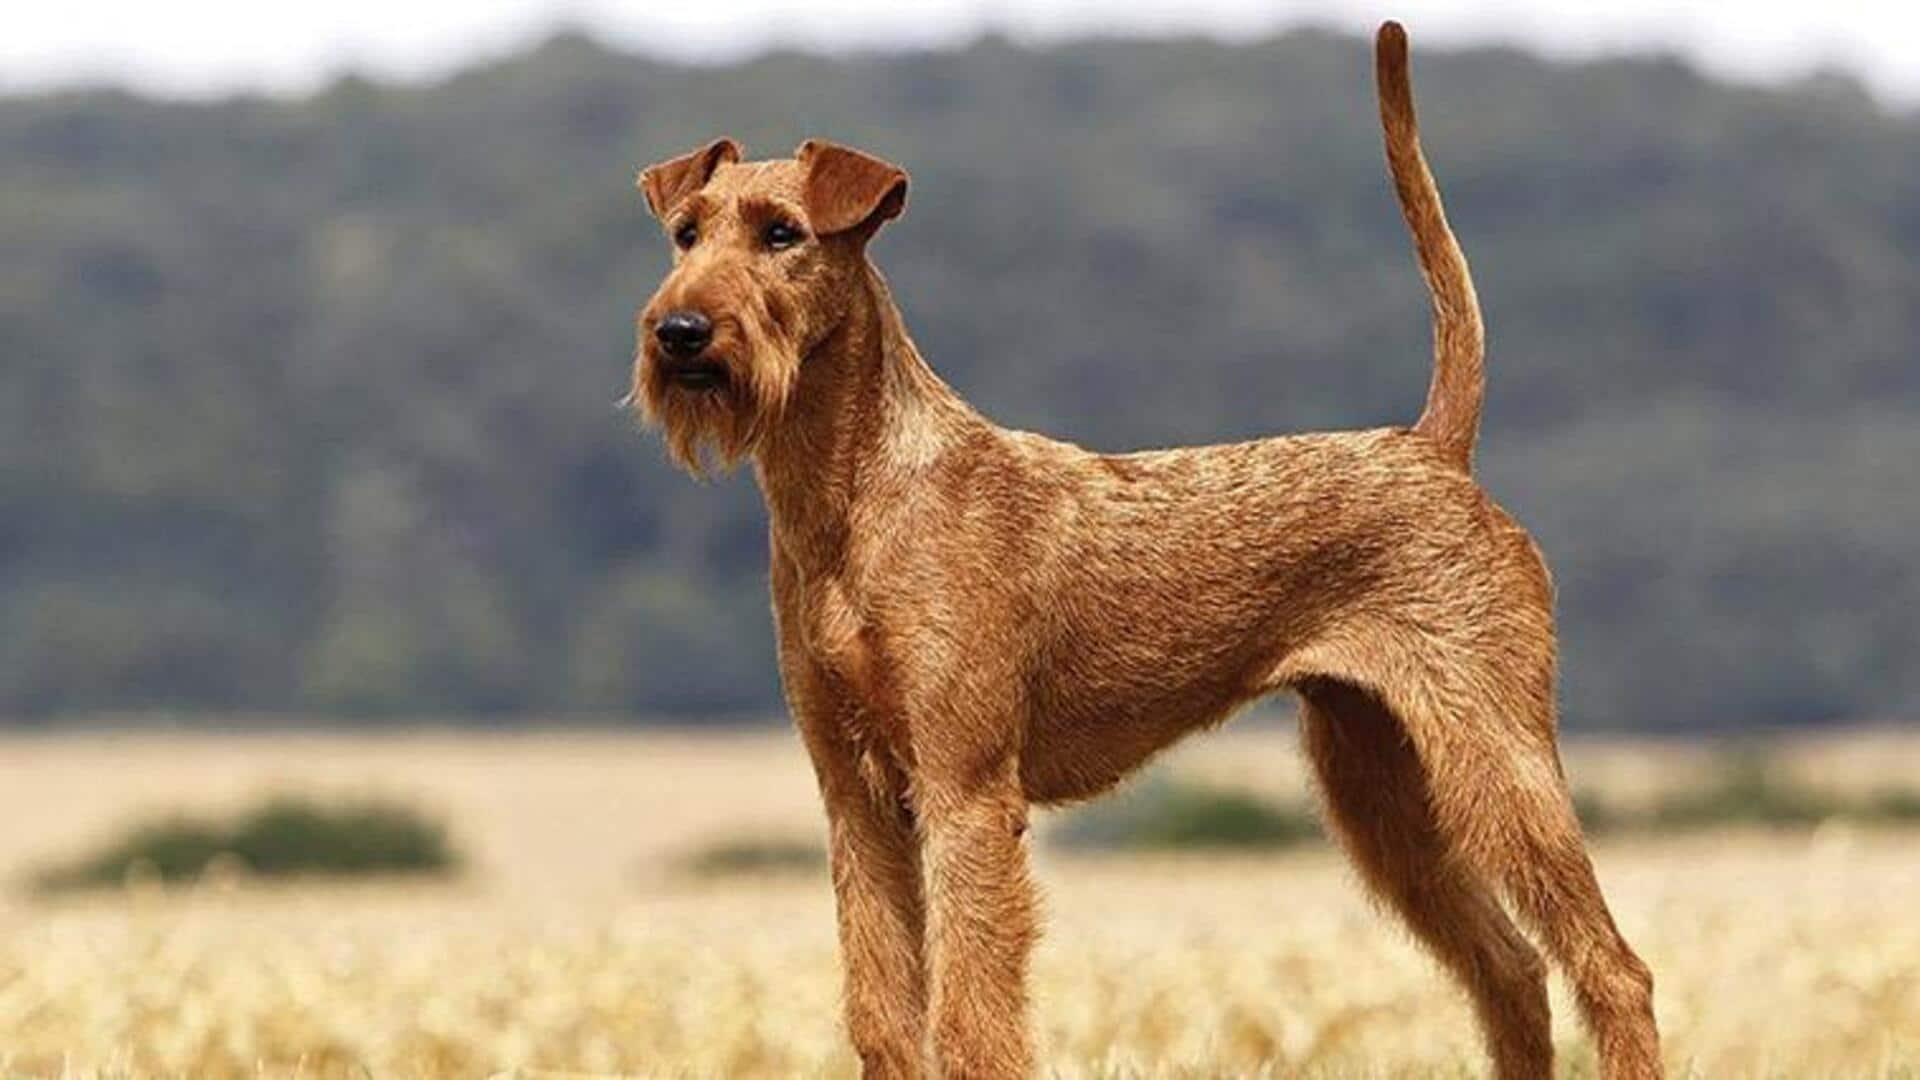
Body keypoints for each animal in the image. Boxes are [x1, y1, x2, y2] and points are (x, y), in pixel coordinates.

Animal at [629, 18, 1666, 1076]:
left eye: (782, 234)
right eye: (686, 233)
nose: (680, 330)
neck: (852, 503)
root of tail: (1433, 446)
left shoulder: (966, 792)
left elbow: (971, 1022)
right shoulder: (857, 798)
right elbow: (884, 1018)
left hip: (1495, 755)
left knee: (1612, 968)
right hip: (1381, 781)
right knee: (1511, 968)